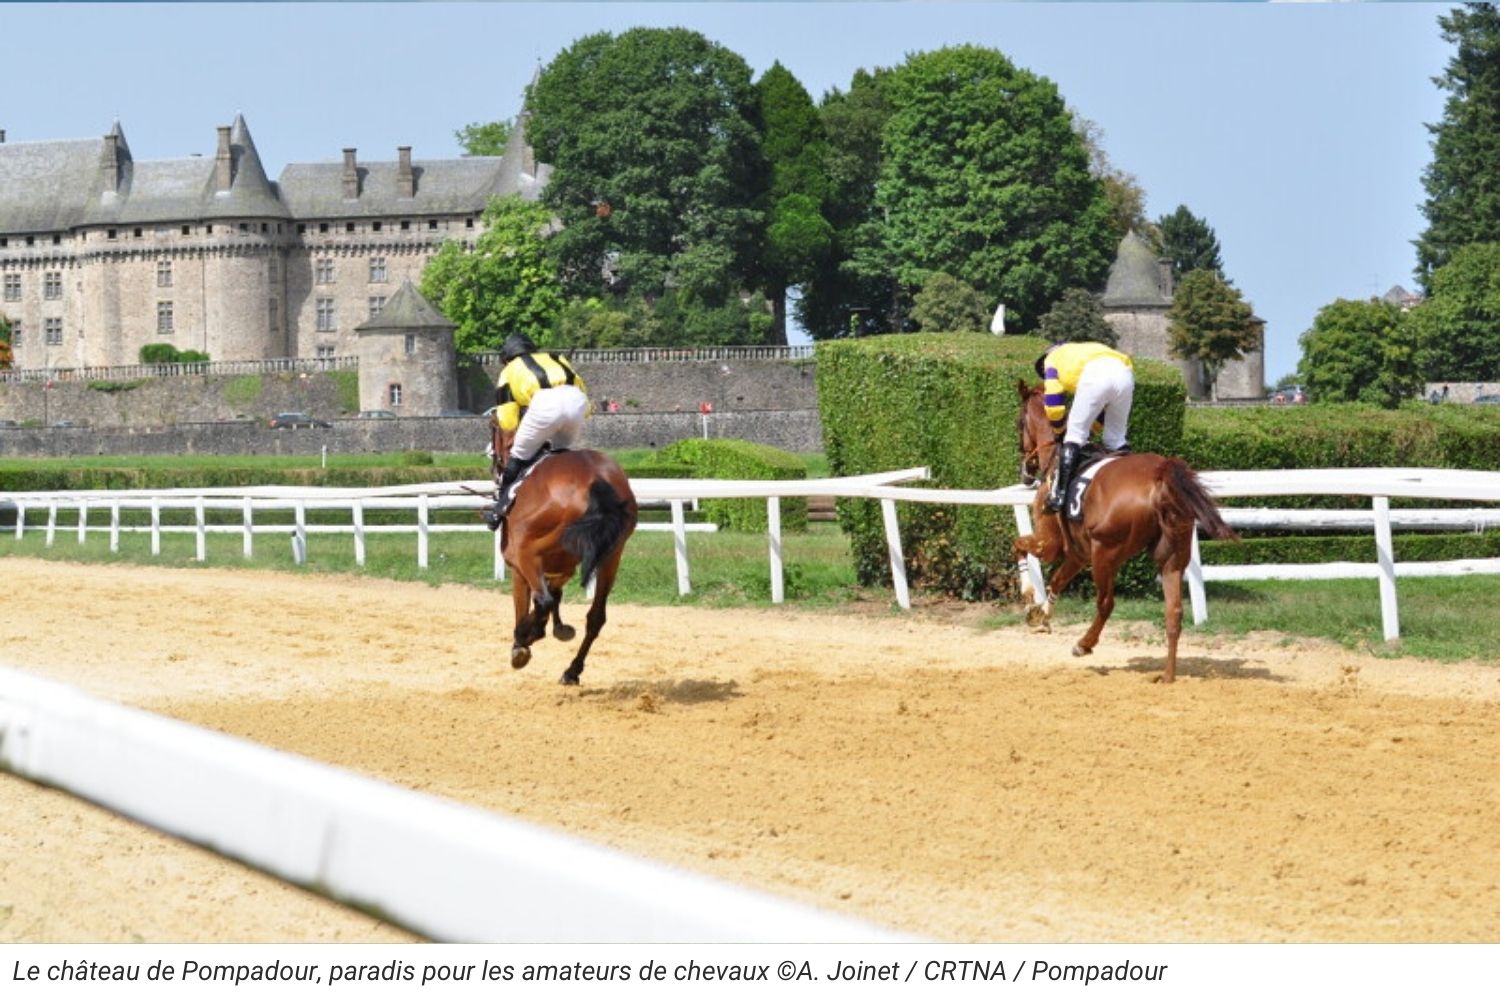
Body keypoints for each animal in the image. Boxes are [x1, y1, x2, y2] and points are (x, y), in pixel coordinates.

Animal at [489, 419, 636, 683]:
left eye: (491, 427)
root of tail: (596, 480)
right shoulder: (564, 566)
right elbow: (555, 594)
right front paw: (557, 628)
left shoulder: (519, 564)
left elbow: (530, 601)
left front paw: (523, 642)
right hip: (612, 555)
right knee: (596, 616)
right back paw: (572, 670)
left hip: (526, 552)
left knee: (543, 600)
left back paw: (524, 635)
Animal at [1014, 379, 1236, 683]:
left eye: (1018, 423)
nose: (1026, 471)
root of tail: (1160, 473)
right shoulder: (1078, 553)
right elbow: (1057, 581)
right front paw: (1042, 615)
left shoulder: (1051, 543)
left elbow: (1019, 546)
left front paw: (1028, 599)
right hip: (1172, 555)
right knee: (1174, 612)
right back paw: (1167, 677)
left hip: (1105, 554)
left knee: (1106, 603)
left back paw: (1084, 644)